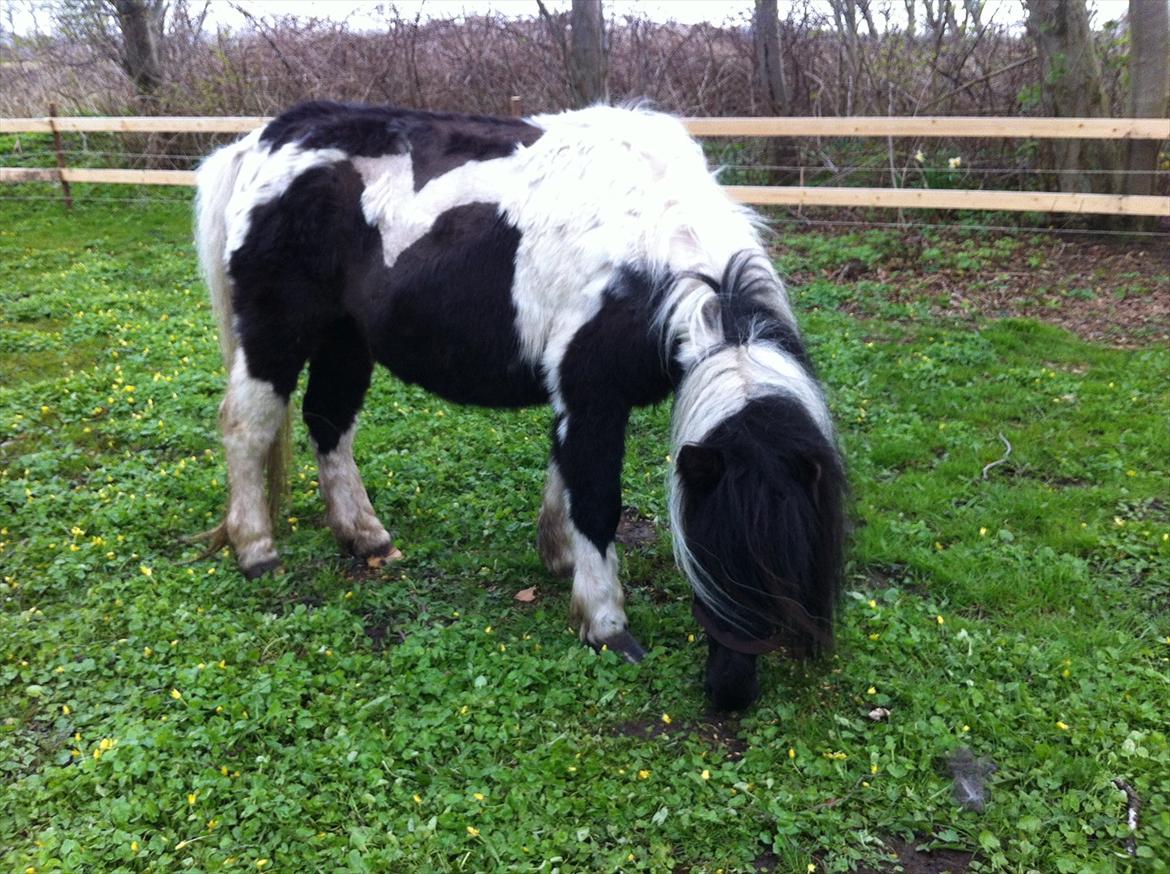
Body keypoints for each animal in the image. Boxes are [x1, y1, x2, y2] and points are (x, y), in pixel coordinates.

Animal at [196, 102, 847, 716]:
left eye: (792, 556)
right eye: (713, 545)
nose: (731, 692)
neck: (651, 249)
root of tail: (266, 140)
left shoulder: (579, 396)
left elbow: (567, 476)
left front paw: (559, 559)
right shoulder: (591, 393)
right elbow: (597, 500)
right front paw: (605, 623)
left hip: (346, 338)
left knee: (329, 423)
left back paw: (365, 537)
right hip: (276, 334)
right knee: (249, 427)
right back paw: (256, 550)